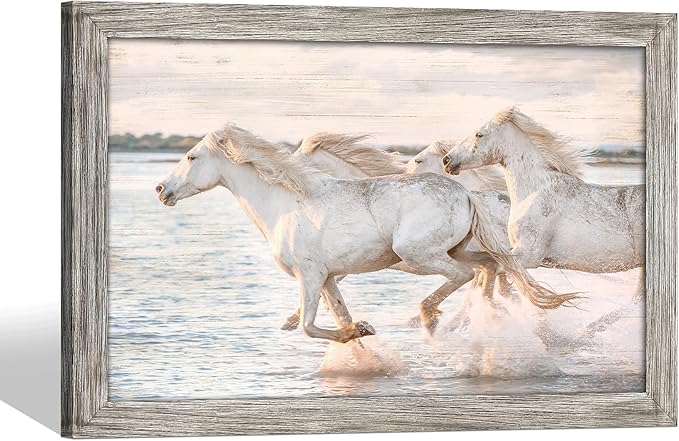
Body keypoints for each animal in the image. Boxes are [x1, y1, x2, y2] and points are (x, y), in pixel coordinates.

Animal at [155, 123, 574, 343]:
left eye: (191, 156)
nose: (162, 190)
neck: (287, 205)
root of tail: (466, 192)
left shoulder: (310, 276)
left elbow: (310, 326)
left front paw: (358, 330)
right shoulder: (327, 278)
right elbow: (333, 313)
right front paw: (356, 331)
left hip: (419, 254)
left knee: (469, 276)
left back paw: (433, 319)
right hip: (454, 250)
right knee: (491, 271)